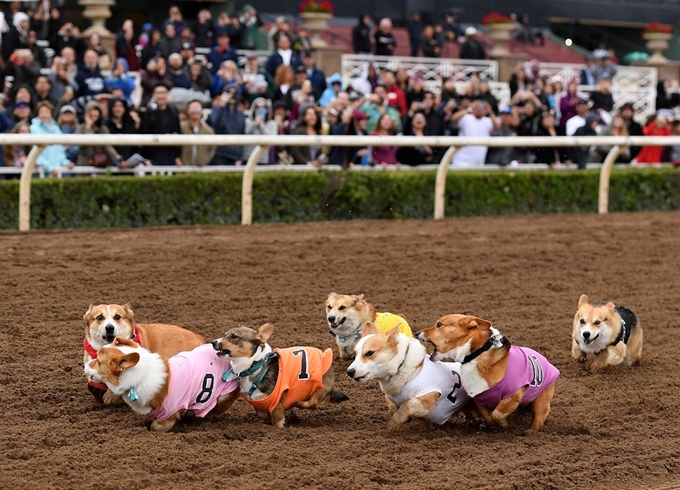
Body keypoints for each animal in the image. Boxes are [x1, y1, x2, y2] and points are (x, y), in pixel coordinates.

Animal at [84, 338, 240, 430]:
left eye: (98, 362)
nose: (84, 365)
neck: (140, 377)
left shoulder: (168, 415)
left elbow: (156, 426)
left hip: (223, 396)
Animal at [211, 324, 350, 426]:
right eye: (225, 335)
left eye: (234, 336)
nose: (213, 342)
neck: (255, 365)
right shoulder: (259, 404)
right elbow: (263, 415)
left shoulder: (277, 405)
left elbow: (277, 421)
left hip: (320, 387)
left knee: (314, 403)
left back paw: (298, 403)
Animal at [420, 314, 556, 432]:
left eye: (439, 324)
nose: (417, 333)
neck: (476, 355)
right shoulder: (479, 398)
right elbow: (488, 417)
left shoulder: (514, 394)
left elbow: (497, 413)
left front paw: (506, 424)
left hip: (542, 398)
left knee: (539, 417)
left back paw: (531, 431)